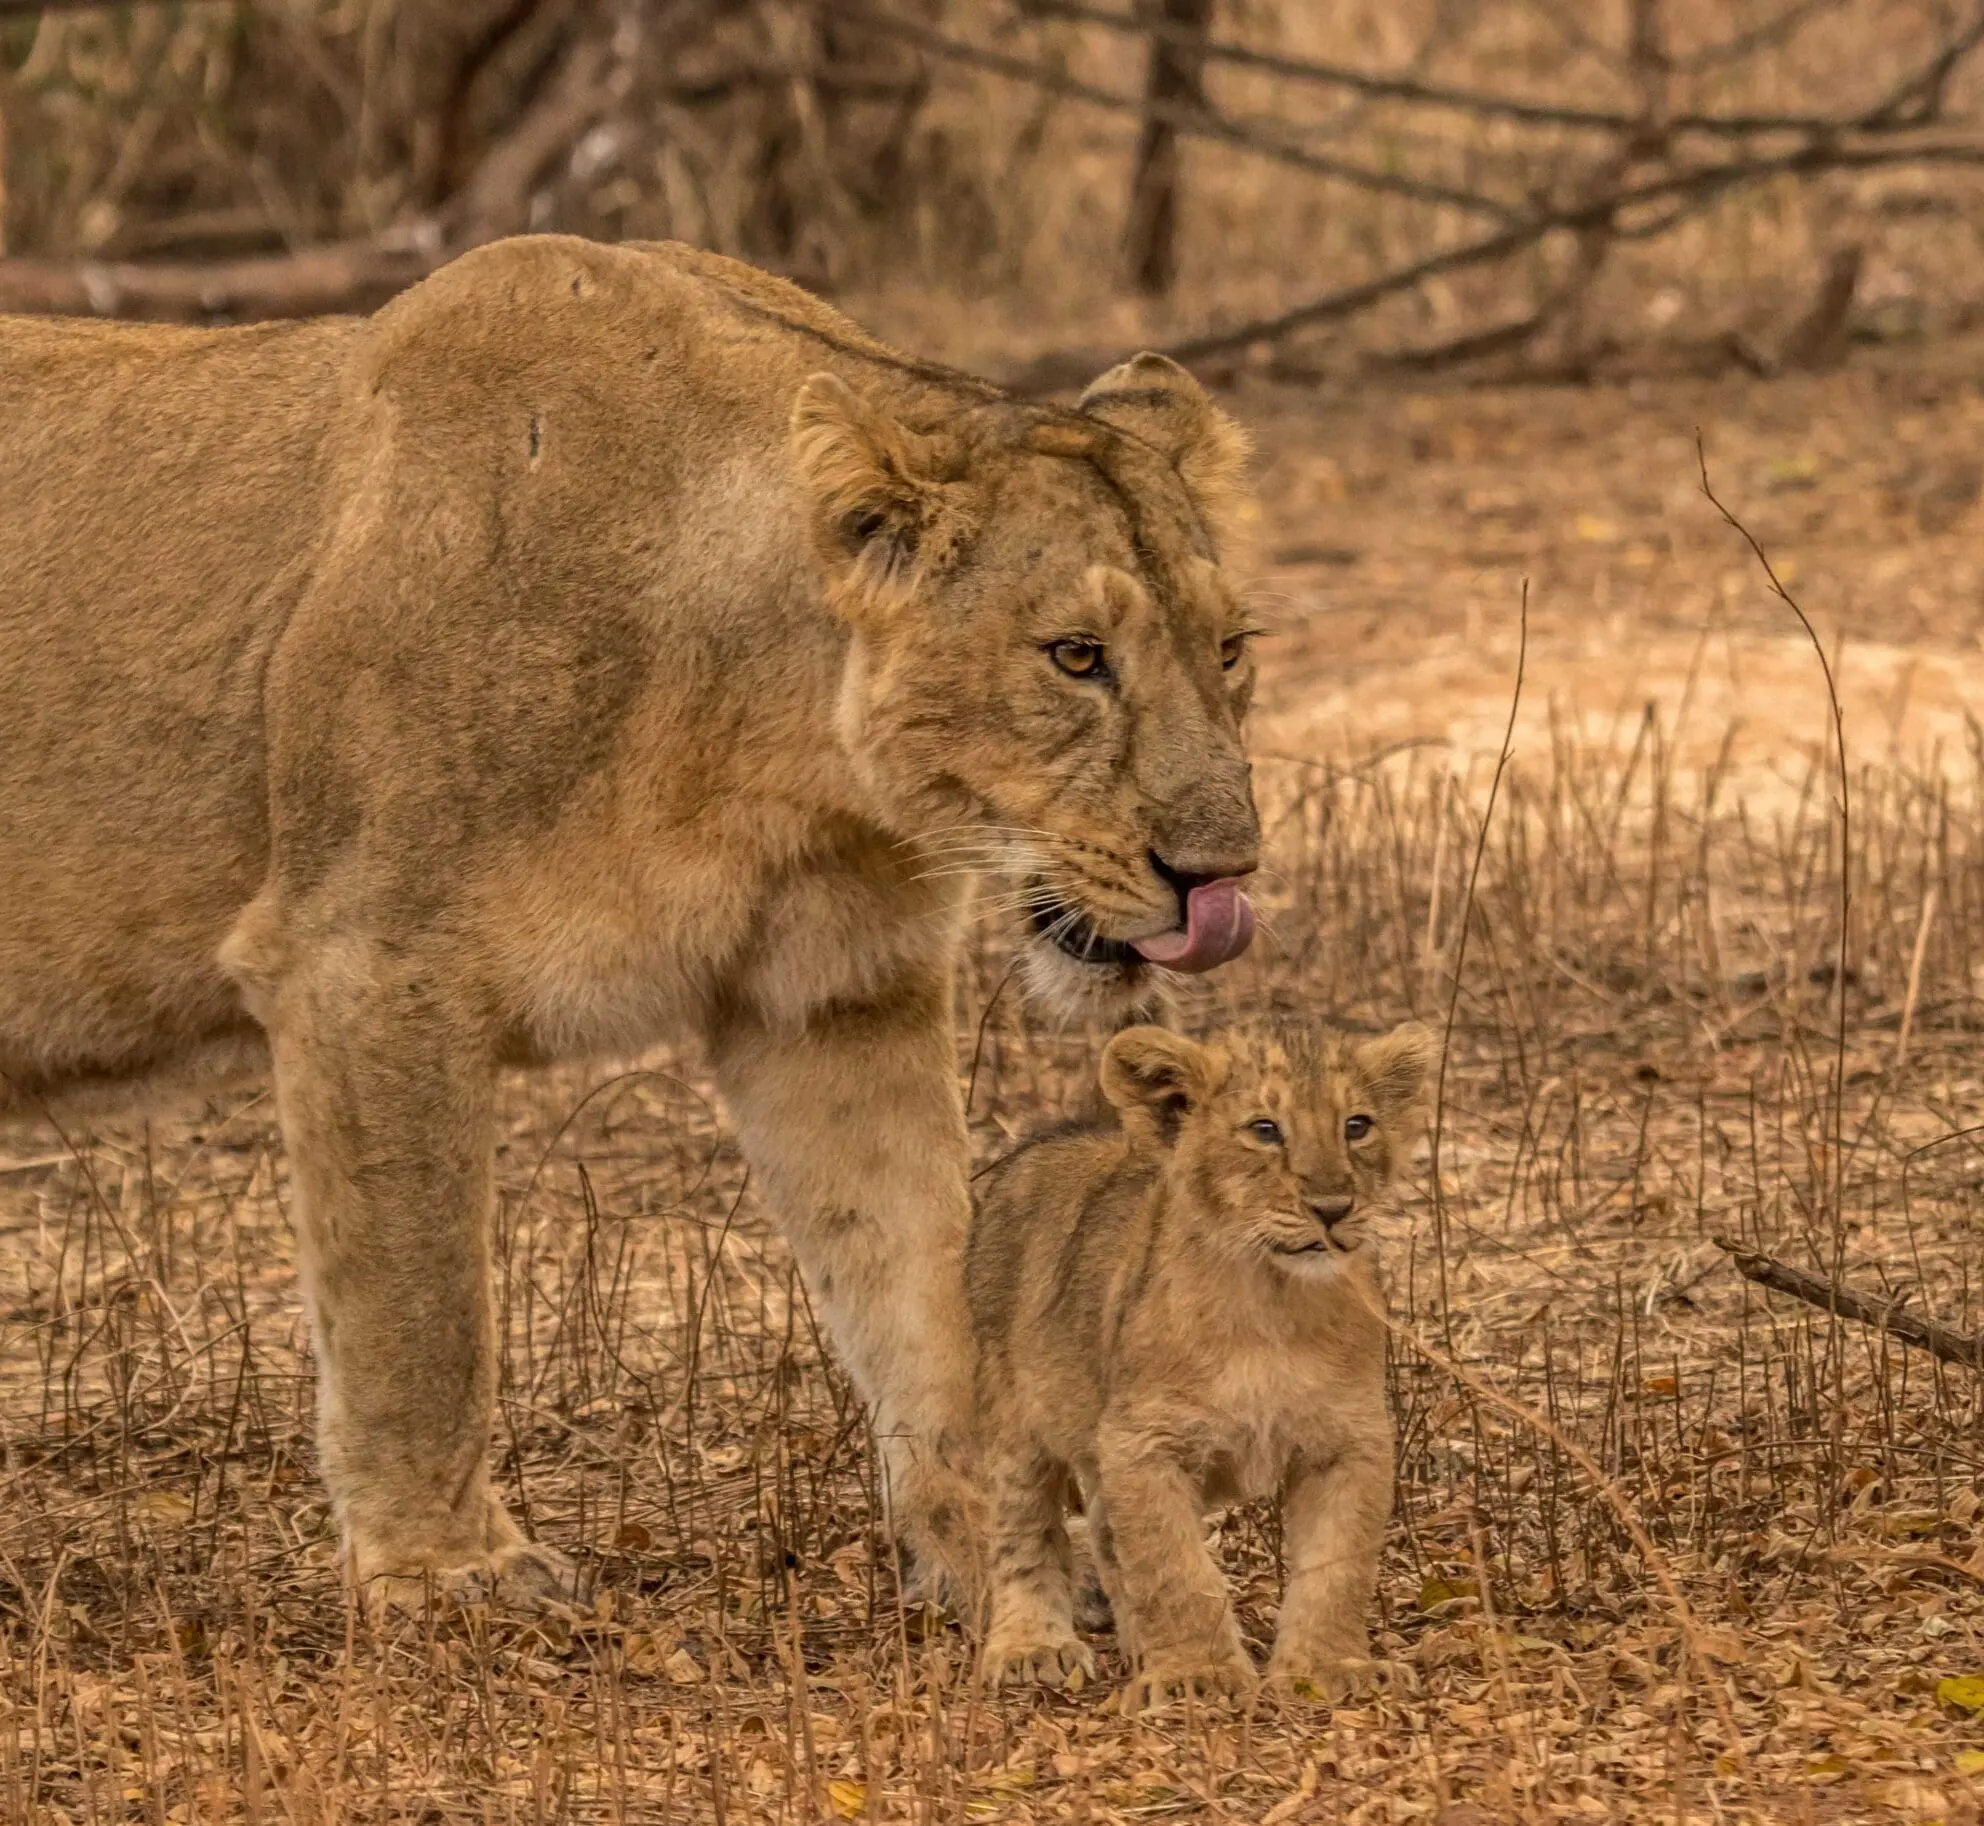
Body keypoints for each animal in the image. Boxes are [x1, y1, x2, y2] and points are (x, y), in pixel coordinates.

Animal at [0, 236, 1263, 1614]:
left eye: (1230, 649)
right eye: (1075, 655)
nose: (1224, 873)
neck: (778, 746)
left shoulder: (834, 992)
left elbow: (922, 1281)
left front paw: (1002, 1557)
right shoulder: (365, 958)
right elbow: (417, 1305)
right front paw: (449, 1573)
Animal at [965, 1015, 1436, 1708]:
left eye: (1357, 1125)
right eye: (1265, 1129)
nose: (1333, 1207)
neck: (1271, 1300)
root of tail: (1043, 1141)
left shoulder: (1350, 1439)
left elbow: (1338, 1566)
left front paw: (1331, 1669)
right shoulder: (1144, 1441)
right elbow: (1174, 1566)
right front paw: (1197, 1676)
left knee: (1104, 1530)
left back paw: (1137, 1645)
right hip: (1014, 1420)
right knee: (1023, 1531)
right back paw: (1034, 1648)